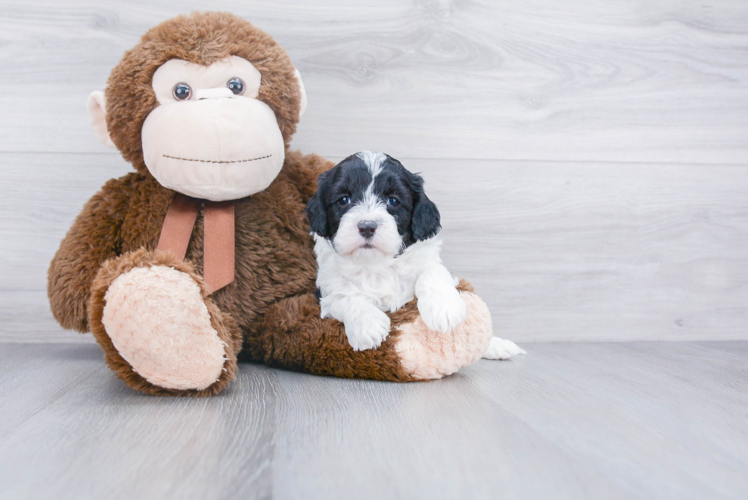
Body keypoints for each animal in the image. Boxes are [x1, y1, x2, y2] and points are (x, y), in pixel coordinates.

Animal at [306, 150, 524, 362]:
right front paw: (368, 325)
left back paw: (498, 345)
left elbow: (432, 273)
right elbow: (344, 296)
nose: (367, 227)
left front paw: (444, 309)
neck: (376, 265)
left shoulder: (426, 260)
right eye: (344, 200)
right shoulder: (325, 290)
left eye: (393, 201)